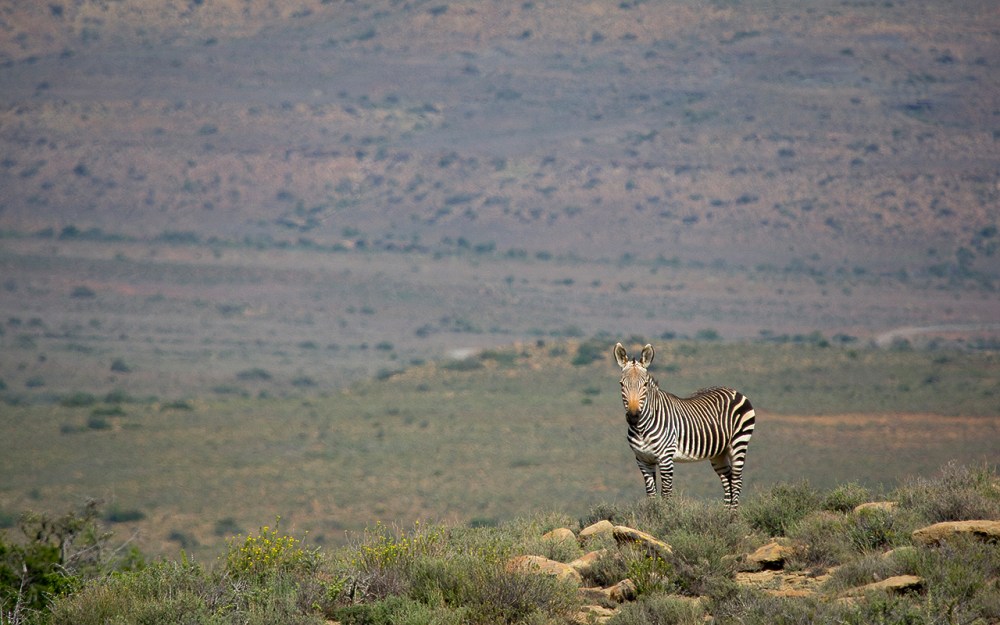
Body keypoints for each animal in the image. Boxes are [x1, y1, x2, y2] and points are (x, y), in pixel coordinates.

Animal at [614, 342, 756, 509]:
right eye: (622, 384)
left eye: (645, 385)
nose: (633, 416)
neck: (641, 429)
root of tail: (733, 391)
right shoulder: (643, 460)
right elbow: (651, 495)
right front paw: (653, 513)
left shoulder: (666, 459)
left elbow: (666, 494)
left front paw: (665, 515)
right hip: (719, 452)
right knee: (727, 479)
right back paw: (725, 513)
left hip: (739, 442)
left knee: (736, 480)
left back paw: (733, 514)